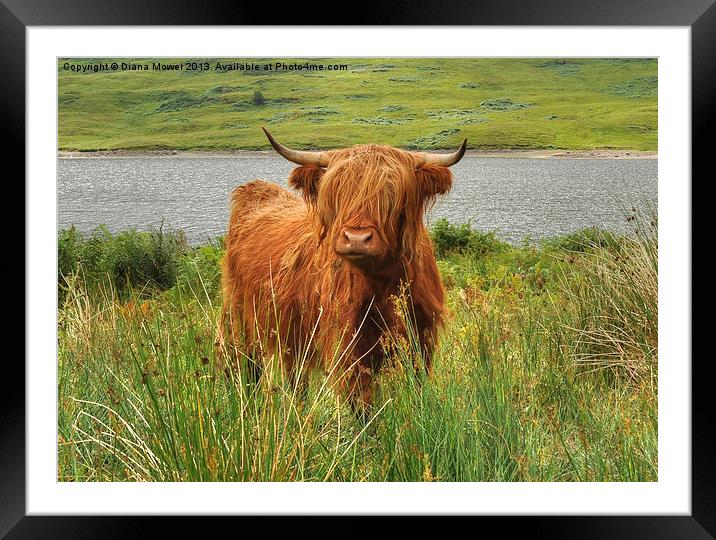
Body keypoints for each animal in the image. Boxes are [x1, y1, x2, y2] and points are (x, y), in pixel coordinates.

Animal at [218, 129, 468, 410]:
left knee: (295, 378)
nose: (357, 238)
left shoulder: (421, 339)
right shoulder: (348, 348)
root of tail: (255, 190)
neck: (382, 285)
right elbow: (362, 404)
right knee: (247, 366)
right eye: (337, 191)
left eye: (392, 194)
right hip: (239, 320)